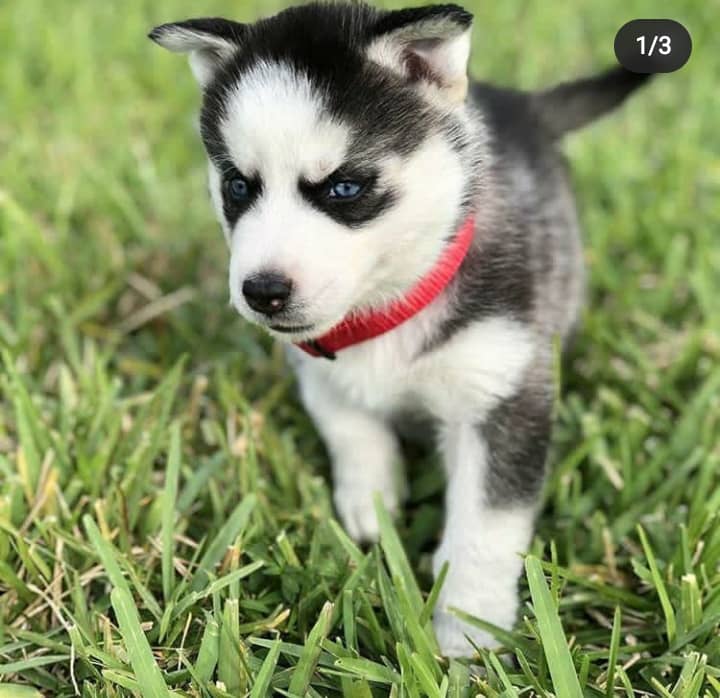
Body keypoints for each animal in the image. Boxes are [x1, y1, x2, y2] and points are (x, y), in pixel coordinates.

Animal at [149, 1, 648, 652]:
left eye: (344, 187)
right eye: (237, 185)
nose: (262, 291)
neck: (387, 309)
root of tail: (520, 104)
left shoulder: (501, 391)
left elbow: (485, 527)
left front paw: (468, 629)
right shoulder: (316, 368)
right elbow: (348, 424)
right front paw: (372, 500)